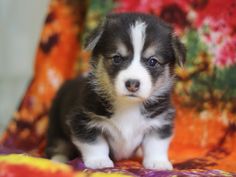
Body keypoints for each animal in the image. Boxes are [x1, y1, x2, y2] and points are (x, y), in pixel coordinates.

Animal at [45, 12, 186, 170]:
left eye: (152, 61)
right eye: (117, 58)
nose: (132, 84)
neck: (129, 105)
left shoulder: (160, 120)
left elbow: (156, 144)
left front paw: (158, 162)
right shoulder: (83, 120)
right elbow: (95, 143)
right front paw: (99, 161)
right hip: (56, 126)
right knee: (58, 145)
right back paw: (58, 160)